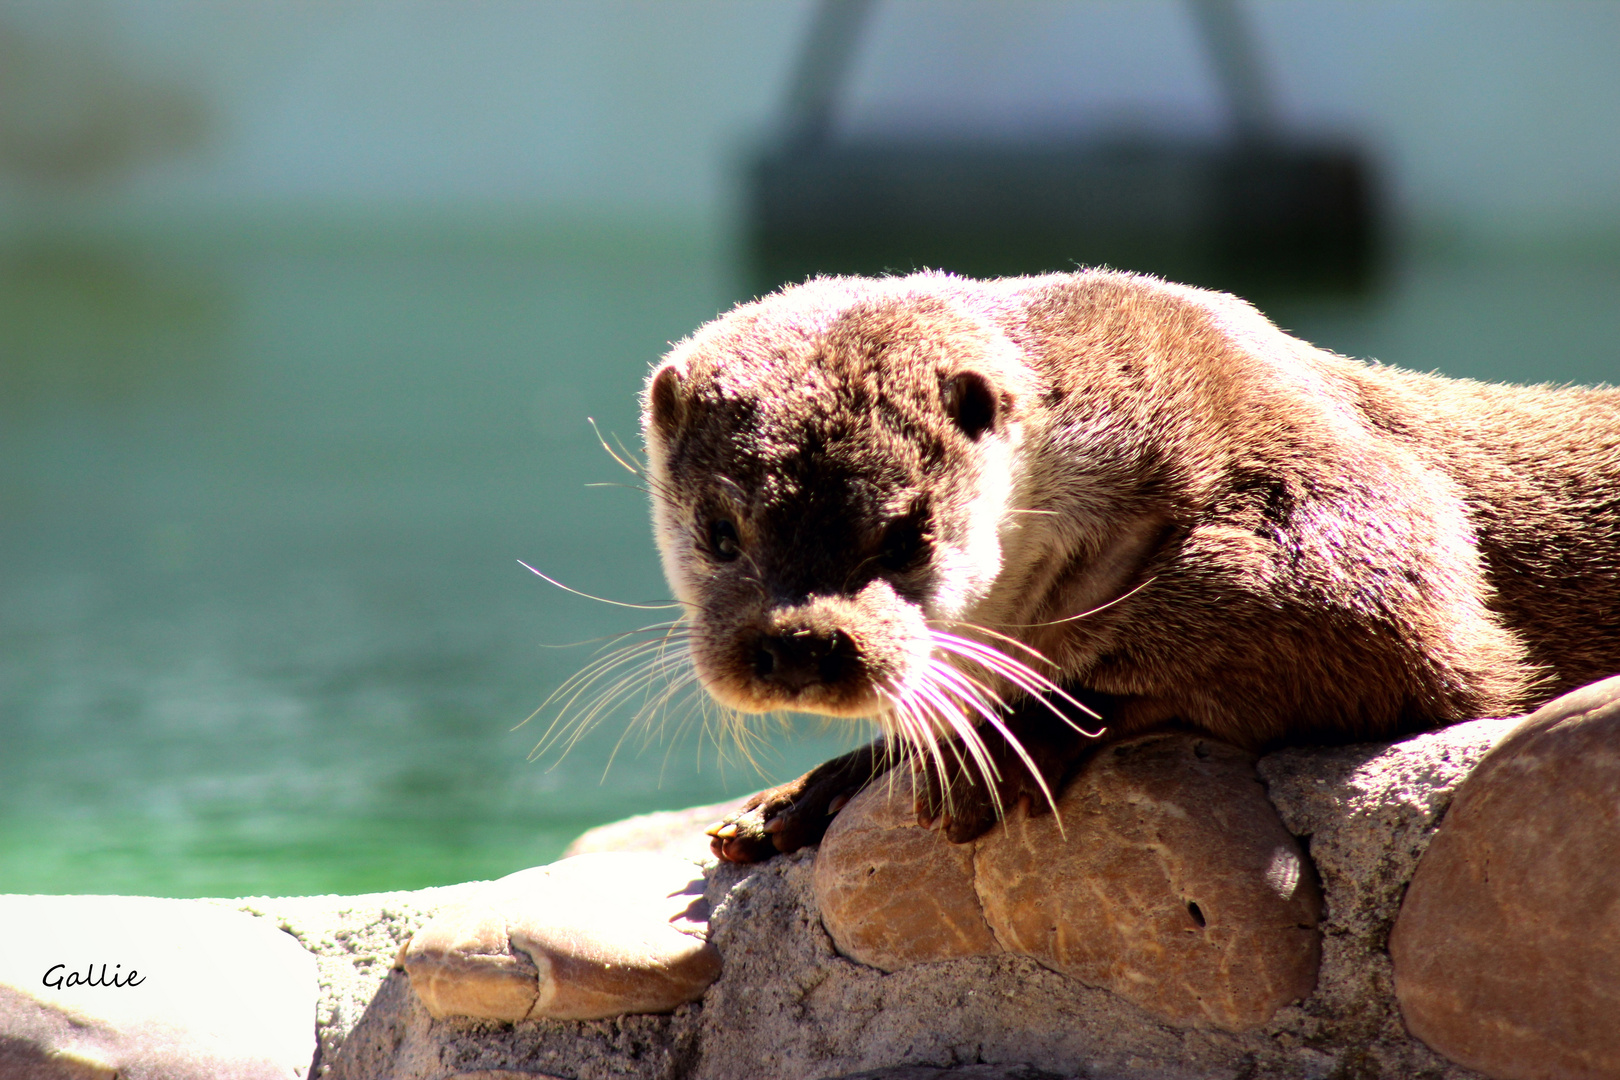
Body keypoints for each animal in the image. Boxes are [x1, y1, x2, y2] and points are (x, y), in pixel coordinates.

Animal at [638, 275, 1613, 867]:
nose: (799, 646)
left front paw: (1021, 734)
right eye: (721, 533)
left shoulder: (1298, 454)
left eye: (907, 536)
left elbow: (1394, 616)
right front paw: (806, 793)